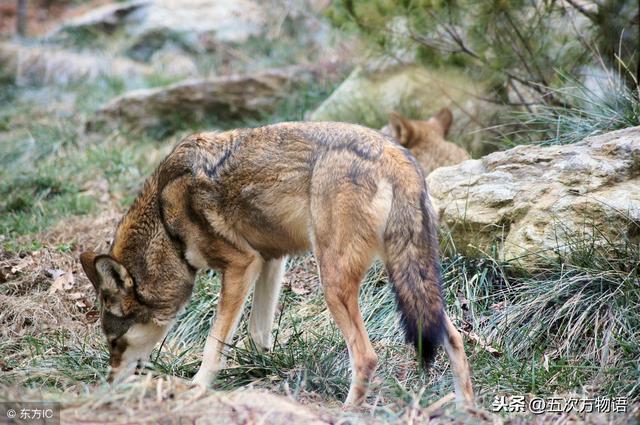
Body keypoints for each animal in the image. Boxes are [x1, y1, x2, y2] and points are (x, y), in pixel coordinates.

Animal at [79, 121, 476, 406]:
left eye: (114, 342)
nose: (108, 386)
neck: (165, 221)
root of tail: (396, 155)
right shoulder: (269, 261)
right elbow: (258, 334)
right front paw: (259, 374)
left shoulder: (241, 266)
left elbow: (213, 344)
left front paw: (198, 388)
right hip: (415, 282)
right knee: (455, 340)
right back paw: (465, 410)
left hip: (333, 284)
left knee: (366, 357)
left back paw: (347, 412)